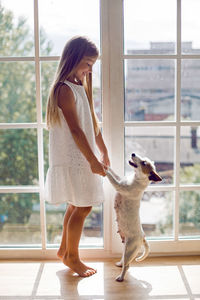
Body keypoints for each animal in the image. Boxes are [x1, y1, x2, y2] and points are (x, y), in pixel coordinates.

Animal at [105, 152, 162, 282]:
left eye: (144, 163)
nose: (133, 153)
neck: (136, 180)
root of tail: (143, 236)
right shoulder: (120, 180)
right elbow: (114, 173)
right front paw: (105, 163)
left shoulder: (119, 186)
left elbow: (111, 177)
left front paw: (103, 168)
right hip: (125, 247)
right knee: (125, 262)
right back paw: (119, 264)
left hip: (129, 250)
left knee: (127, 266)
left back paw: (121, 277)